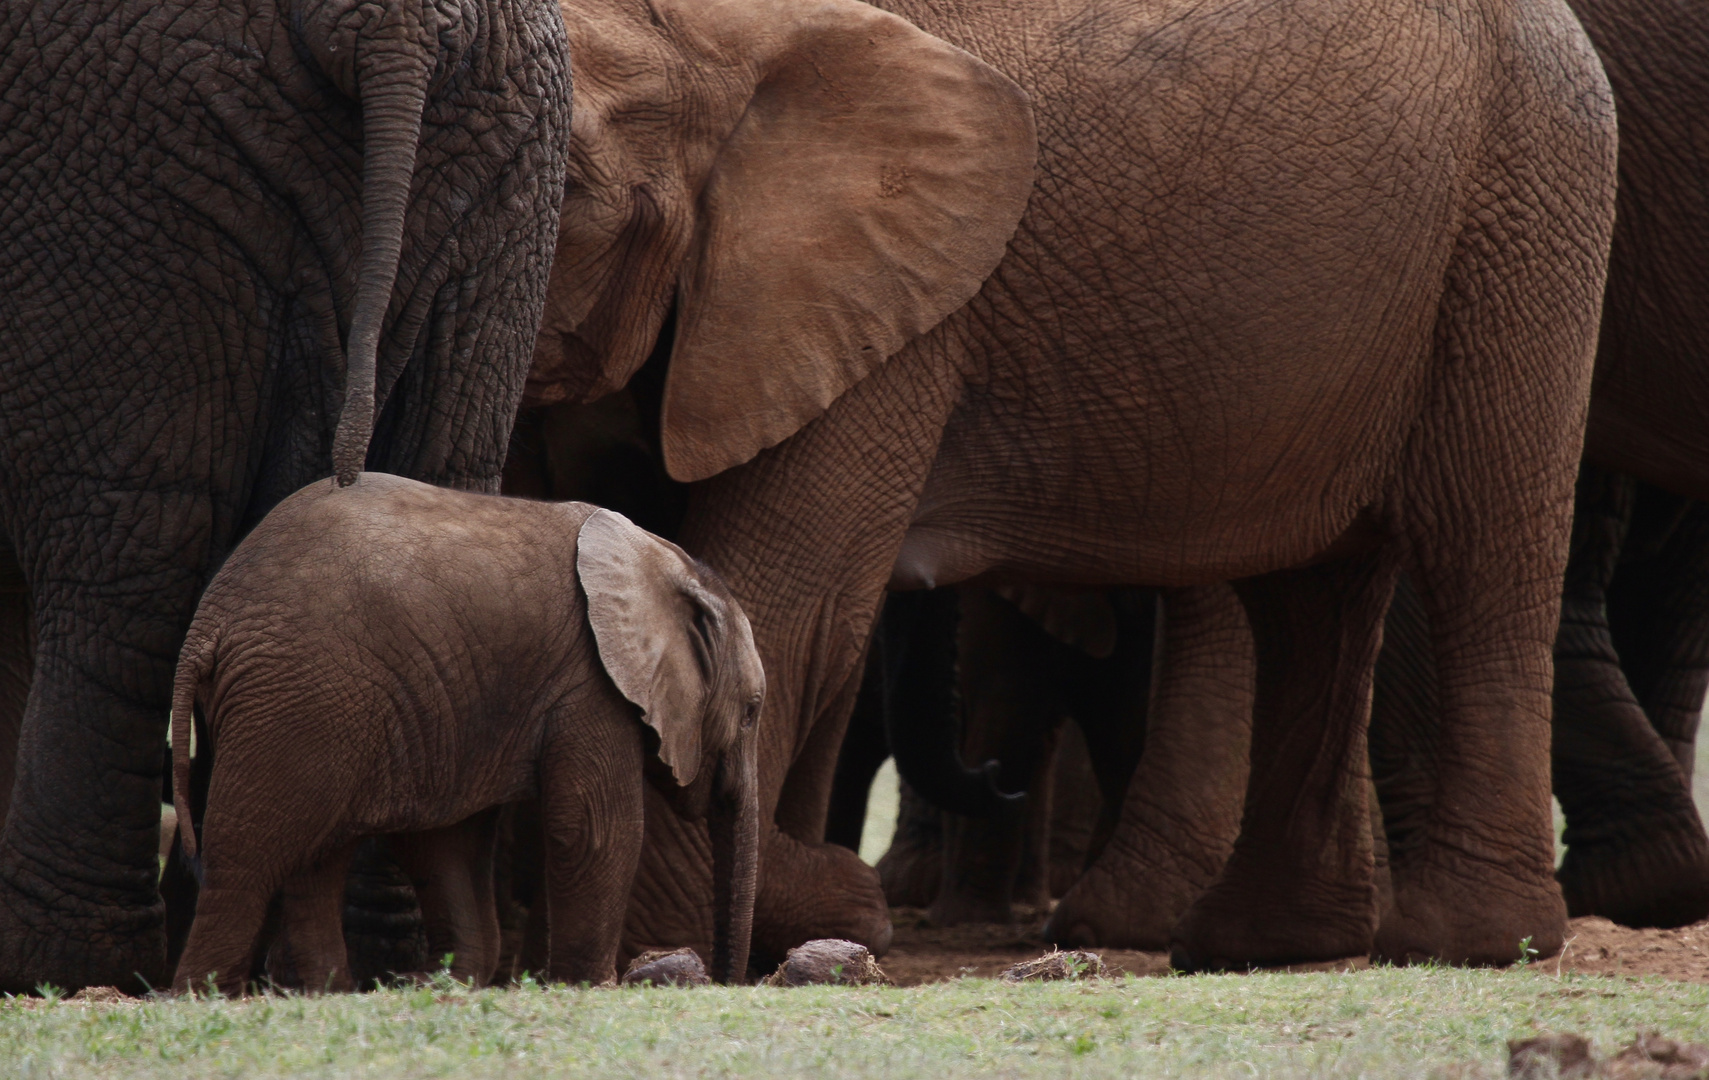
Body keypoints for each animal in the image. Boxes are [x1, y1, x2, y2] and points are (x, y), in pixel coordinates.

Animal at [0, 0, 574, 991]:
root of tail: (389, 25)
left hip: (119, 170)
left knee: (131, 561)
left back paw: (64, 967)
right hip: (509, 155)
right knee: (445, 482)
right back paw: (364, 963)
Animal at [171, 471, 762, 997]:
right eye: (753, 710)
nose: (718, 979)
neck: (668, 562)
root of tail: (208, 624)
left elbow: (447, 842)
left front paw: (447, 983)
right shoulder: (590, 683)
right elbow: (590, 829)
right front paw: (592, 987)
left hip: (323, 705)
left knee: (317, 854)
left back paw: (326, 993)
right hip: (303, 691)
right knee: (246, 854)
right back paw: (205, 994)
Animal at [522, 0, 1613, 970]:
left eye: (568, 185)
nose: (999, 779)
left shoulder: (890, 309)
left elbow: (791, 596)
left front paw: (684, 933)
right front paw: (789, 908)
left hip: (1524, 218)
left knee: (1479, 554)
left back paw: (1462, 945)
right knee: (1308, 598)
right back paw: (1261, 943)